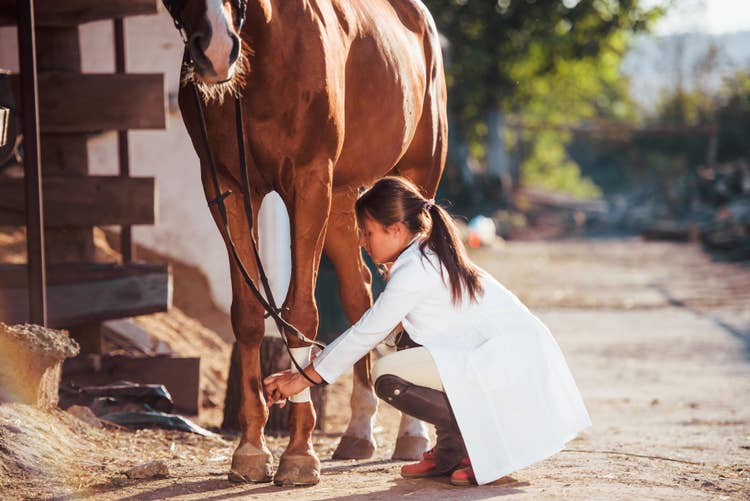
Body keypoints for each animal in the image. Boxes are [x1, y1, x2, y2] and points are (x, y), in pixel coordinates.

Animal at [166, 0, 448, 485]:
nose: (216, 49)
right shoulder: (226, 186)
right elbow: (248, 316)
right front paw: (251, 449)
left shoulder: (310, 181)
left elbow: (300, 313)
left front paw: (298, 453)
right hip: (344, 202)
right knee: (359, 293)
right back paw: (358, 431)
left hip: (411, 178)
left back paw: (412, 434)